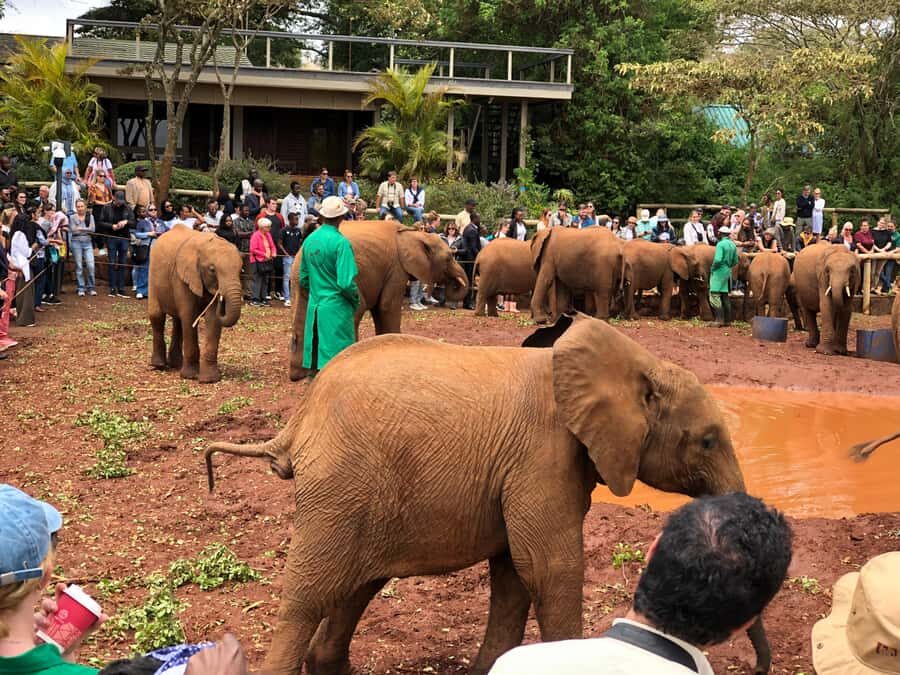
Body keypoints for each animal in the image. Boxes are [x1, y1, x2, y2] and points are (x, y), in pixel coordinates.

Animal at [148, 224, 243, 383]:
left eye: (240, 270)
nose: (221, 295)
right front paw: (190, 376)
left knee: (178, 321)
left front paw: (209, 379)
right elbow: (189, 315)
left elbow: (212, 319)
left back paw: (176, 364)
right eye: (212, 270)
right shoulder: (181, 276)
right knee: (157, 316)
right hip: (153, 275)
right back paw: (158, 366)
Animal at [205, 312, 771, 675]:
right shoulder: (542, 454)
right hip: (338, 486)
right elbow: (549, 568)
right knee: (308, 597)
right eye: (707, 440)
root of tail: (298, 421)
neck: (631, 362)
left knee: (355, 588)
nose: (760, 668)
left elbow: (514, 576)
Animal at [288, 221, 468, 380]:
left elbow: (379, 308)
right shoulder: (396, 268)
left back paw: (303, 374)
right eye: (449, 258)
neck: (413, 233)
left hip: (300, 280)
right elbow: (387, 306)